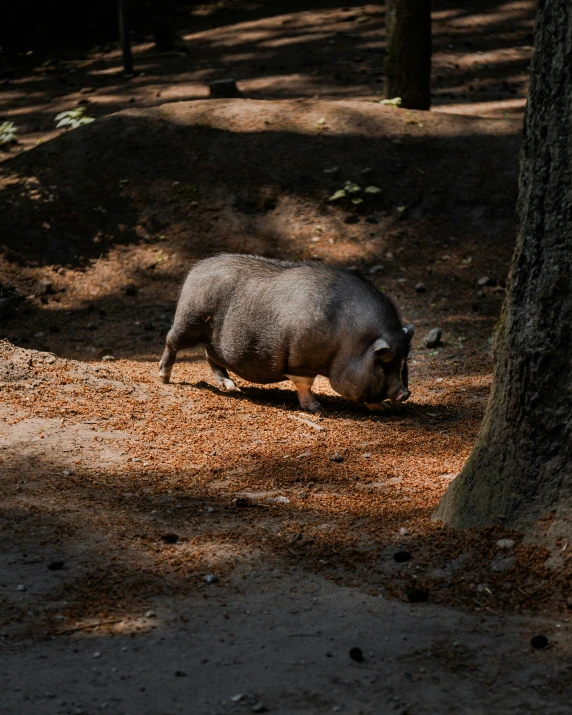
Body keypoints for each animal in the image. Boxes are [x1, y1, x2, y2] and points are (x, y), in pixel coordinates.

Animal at [159, 253, 414, 412]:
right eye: (384, 363)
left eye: (403, 363)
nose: (405, 394)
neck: (349, 342)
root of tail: (196, 268)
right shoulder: (300, 360)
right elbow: (305, 384)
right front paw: (316, 408)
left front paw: (383, 407)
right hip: (189, 320)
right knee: (171, 341)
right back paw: (164, 378)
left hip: (214, 341)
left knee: (210, 357)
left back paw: (232, 387)